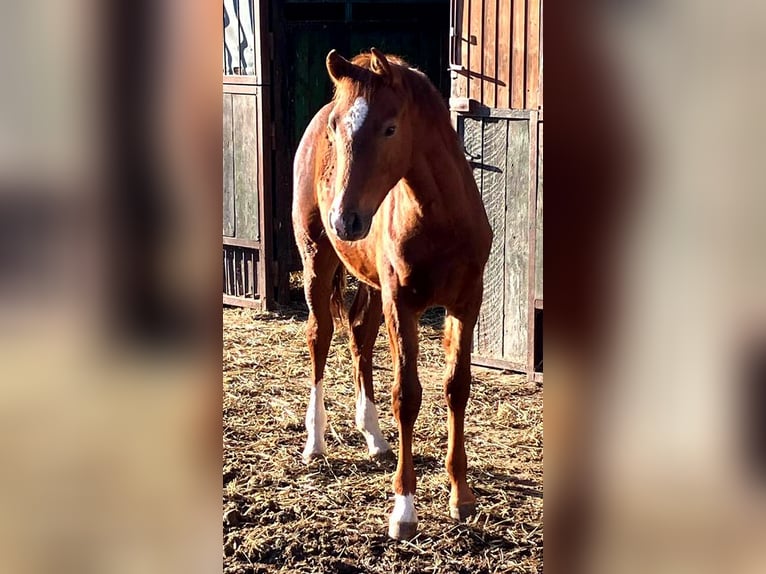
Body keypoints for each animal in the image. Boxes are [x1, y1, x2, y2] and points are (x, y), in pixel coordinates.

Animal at [291, 48, 492, 540]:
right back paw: (315, 442)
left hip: (372, 283)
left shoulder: (466, 304)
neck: (441, 223)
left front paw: (461, 495)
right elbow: (407, 396)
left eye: (390, 128)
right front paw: (404, 509)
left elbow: (456, 387)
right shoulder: (403, 305)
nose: (344, 220)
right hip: (318, 260)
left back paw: (374, 437)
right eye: (337, 129)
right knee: (320, 337)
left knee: (359, 336)